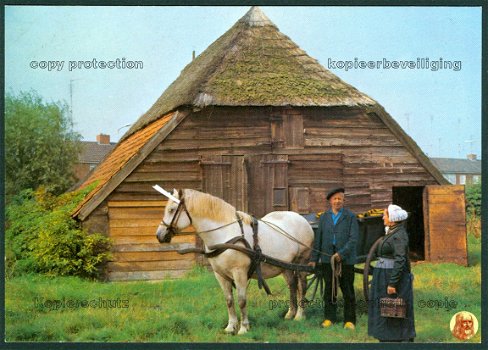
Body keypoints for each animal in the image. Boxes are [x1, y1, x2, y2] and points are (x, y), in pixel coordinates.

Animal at [158, 189, 314, 334]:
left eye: (171, 210)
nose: (159, 235)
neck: (225, 234)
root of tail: (302, 219)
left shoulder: (239, 273)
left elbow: (241, 300)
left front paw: (244, 327)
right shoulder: (220, 275)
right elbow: (229, 300)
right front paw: (231, 326)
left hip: (302, 262)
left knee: (302, 286)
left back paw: (299, 315)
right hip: (286, 266)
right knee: (292, 285)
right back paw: (290, 313)